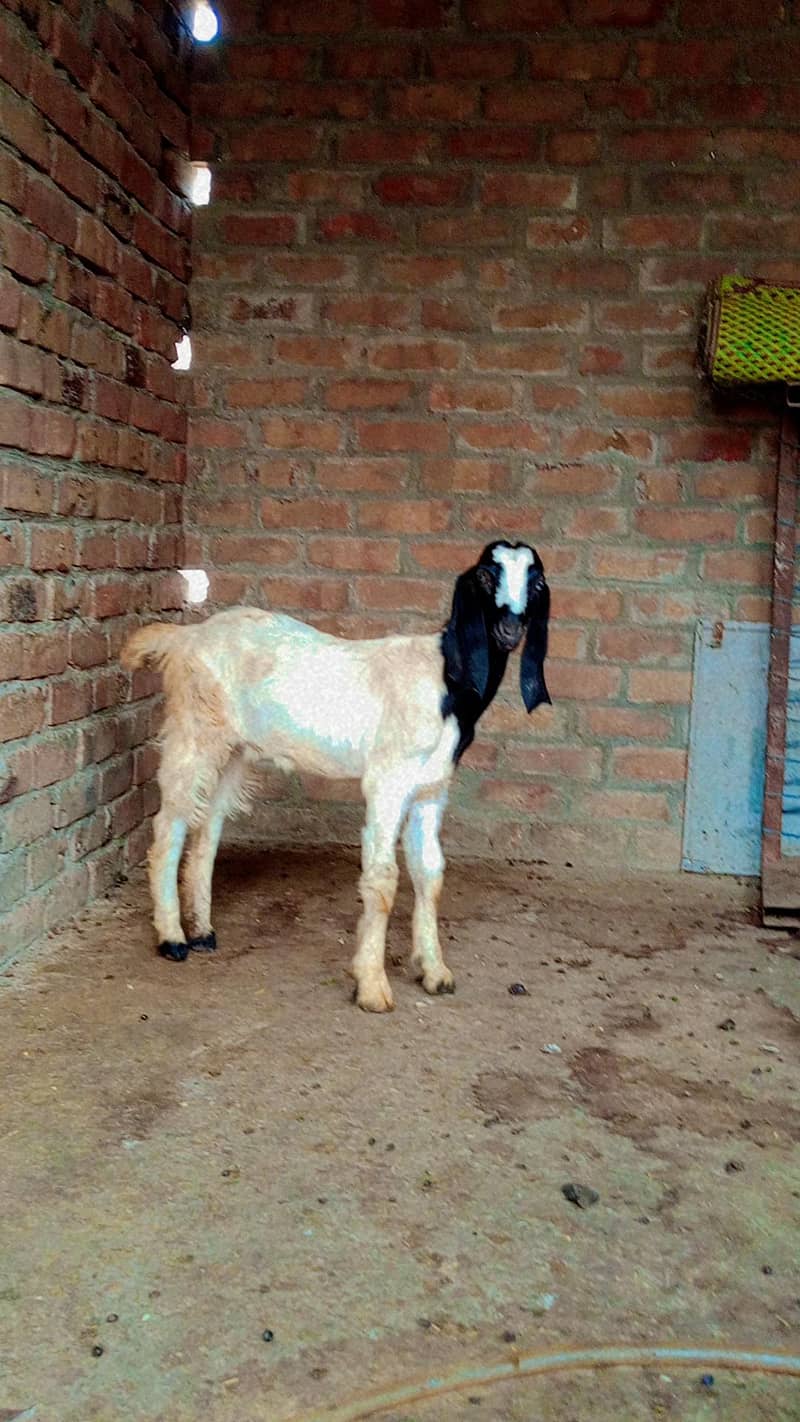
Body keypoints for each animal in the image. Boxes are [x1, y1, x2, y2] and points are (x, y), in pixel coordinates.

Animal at [121, 540, 550, 1012]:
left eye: (536, 582)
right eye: (487, 577)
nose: (510, 629)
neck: (444, 680)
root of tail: (185, 637)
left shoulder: (430, 790)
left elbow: (430, 874)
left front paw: (435, 972)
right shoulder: (388, 781)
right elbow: (383, 879)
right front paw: (372, 987)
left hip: (234, 749)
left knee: (208, 827)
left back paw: (202, 931)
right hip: (194, 732)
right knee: (169, 826)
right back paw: (172, 938)